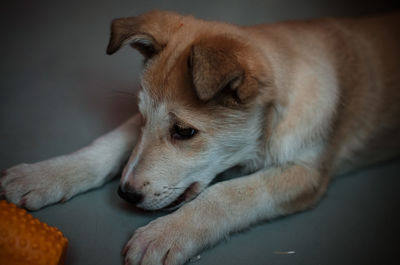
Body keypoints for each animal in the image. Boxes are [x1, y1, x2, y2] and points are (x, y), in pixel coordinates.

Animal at [0, 10, 400, 264]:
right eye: (143, 117)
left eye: (184, 132)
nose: (125, 194)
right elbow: (108, 145)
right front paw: (45, 175)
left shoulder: (306, 174)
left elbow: (228, 195)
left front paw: (168, 234)